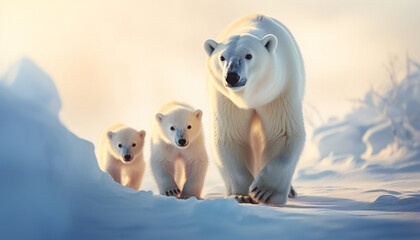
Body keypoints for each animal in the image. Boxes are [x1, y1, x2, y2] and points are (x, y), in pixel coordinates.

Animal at [204, 14, 306, 205]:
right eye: (222, 57)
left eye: (248, 55)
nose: (232, 76)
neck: (251, 97)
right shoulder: (227, 100)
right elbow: (231, 137)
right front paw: (241, 195)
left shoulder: (279, 91)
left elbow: (284, 133)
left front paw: (264, 192)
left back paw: (290, 191)